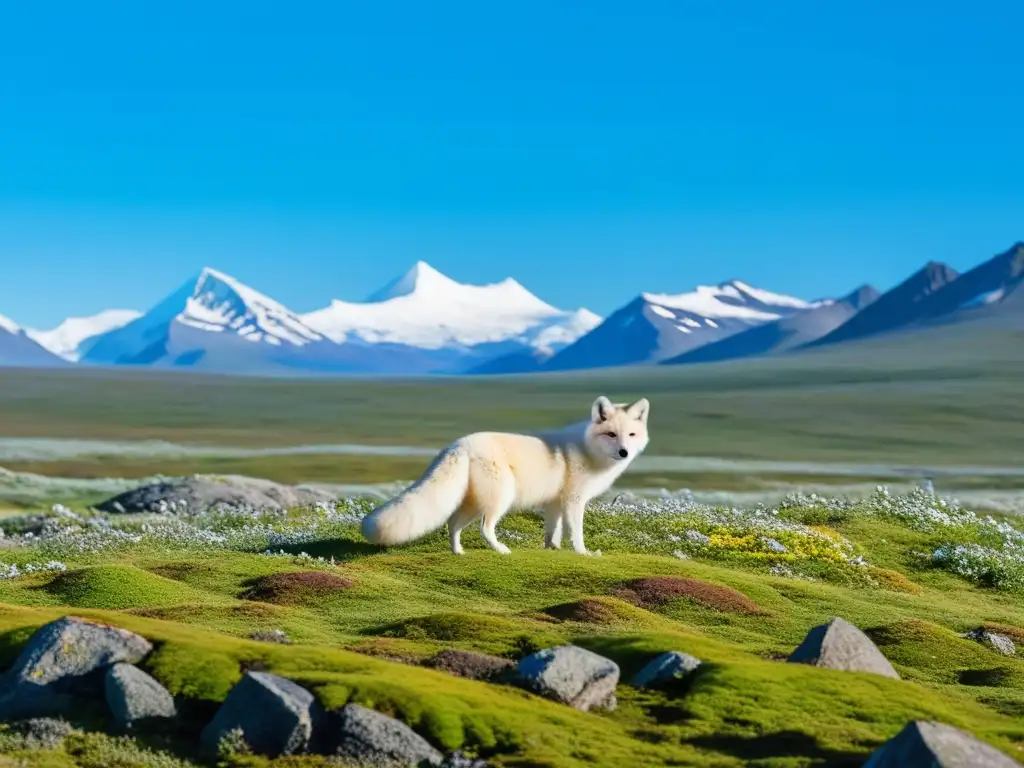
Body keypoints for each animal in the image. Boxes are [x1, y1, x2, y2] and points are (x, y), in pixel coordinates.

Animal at [360, 397, 647, 561]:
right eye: (611, 434)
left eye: (631, 434)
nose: (624, 452)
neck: (589, 449)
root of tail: (458, 445)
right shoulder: (574, 501)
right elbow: (575, 531)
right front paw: (583, 552)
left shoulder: (556, 502)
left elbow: (552, 530)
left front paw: (552, 549)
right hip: (500, 498)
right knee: (484, 528)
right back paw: (500, 550)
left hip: (474, 503)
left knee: (452, 524)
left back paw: (458, 552)